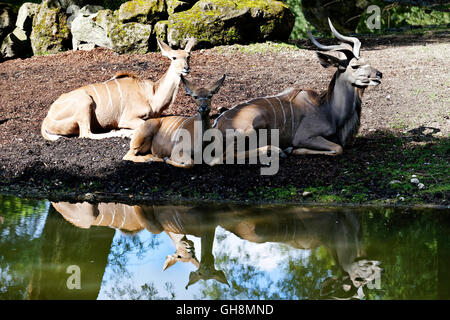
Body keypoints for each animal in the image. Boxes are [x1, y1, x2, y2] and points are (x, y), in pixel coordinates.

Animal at [41, 37, 196, 140]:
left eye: (188, 56)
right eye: (173, 57)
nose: (186, 68)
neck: (152, 95)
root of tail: (47, 118)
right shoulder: (127, 118)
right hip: (85, 103)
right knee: (86, 134)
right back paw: (121, 133)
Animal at [213, 18, 382, 156]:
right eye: (354, 66)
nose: (379, 74)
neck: (329, 110)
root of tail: (216, 125)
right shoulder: (304, 137)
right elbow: (338, 148)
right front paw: (293, 150)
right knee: (226, 156)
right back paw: (279, 151)